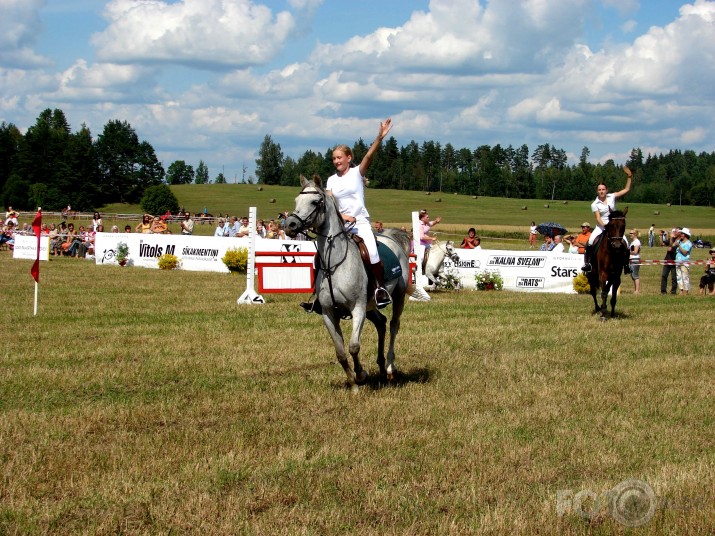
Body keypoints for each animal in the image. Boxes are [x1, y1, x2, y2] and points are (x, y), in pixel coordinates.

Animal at [282, 176, 412, 390]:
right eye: (296, 200)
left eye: (315, 202)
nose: (290, 225)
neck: (335, 263)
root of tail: (391, 237)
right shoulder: (328, 313)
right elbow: (341, 353)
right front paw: (353, 384)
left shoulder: (357, 308)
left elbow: (353, 347)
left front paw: (361, 375)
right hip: (370, 306)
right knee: (381, 323)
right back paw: (381, 367)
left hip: (398, 296)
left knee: (394, 325)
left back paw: (390, 368)